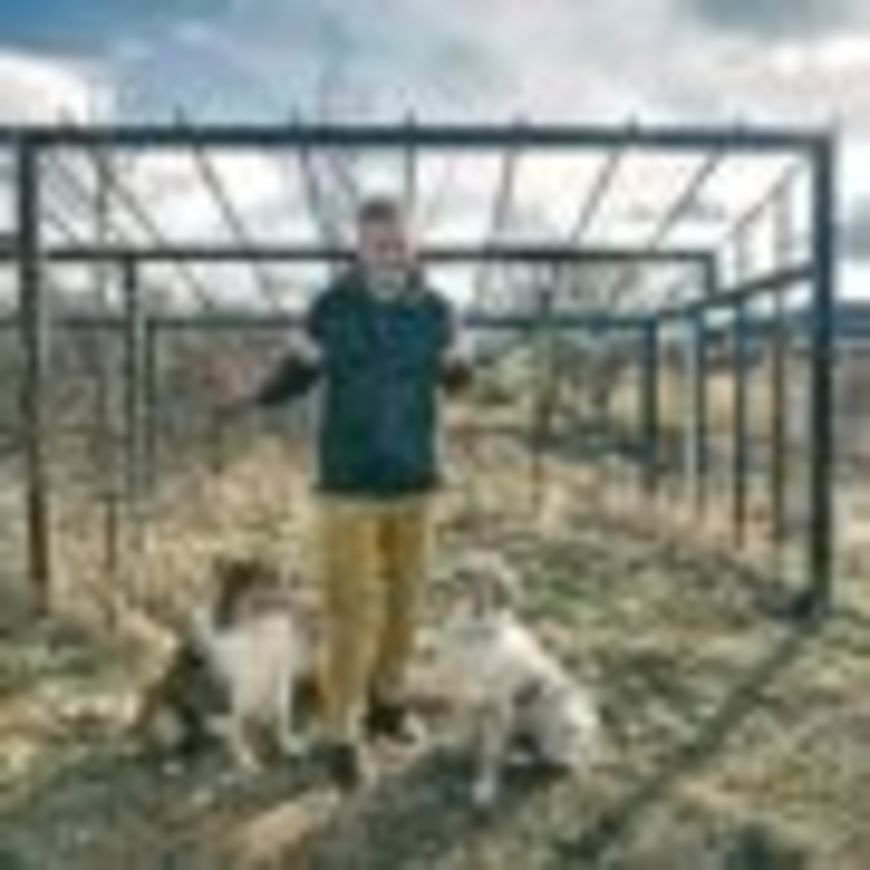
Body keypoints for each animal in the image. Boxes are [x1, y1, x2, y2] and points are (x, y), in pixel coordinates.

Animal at [133, 556, 315, 773]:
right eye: (259, 577)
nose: (293, 578)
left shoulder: (281, 675)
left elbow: (282, 714)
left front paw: (288, 743)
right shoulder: (244, 677)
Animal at [434, 550, 600, 808]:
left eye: (493, 585)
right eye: (463, 573)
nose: (438, 580)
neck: (474, 635)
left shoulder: (498, 706)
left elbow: (489, 753)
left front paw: (485, 787)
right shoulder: (462, 695)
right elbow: (463, 729)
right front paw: (455, 747)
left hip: (566, 717)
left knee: (561, 758)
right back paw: (517, 754)